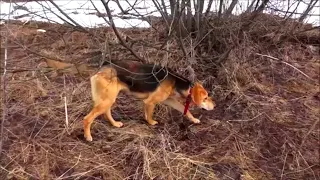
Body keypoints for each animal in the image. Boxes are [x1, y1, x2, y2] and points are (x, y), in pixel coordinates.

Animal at [84, 61, 216, 141]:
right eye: (205, 98)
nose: (214, 106)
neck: (176, 82)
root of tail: (100, 71)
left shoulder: (169, 100)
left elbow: (186, 110)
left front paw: (194, 119)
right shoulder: (150, 102)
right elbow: (150, 114)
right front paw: (151, 122)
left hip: (109, 99)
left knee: (107, 113)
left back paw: (115, 124)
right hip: (107, 100)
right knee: (87, 118)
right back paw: (88, 136)